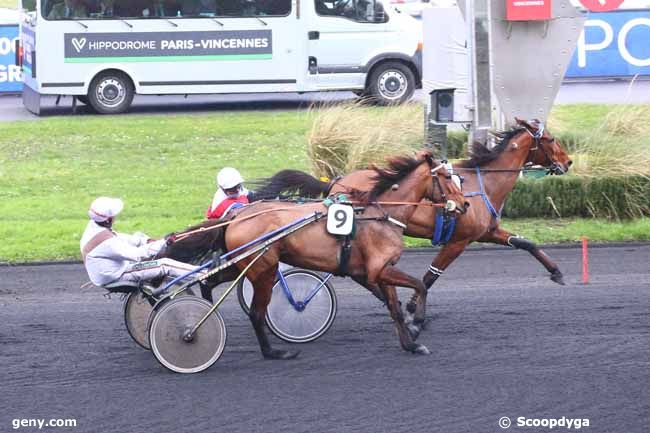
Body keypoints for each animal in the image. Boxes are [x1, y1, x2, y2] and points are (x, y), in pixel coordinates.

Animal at [248, 118, 572, 314]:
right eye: (551, 139)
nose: (568, 162)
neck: (483, 183)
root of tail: (336, 182)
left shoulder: (487, 232)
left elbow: (526, 243)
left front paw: (556, 272)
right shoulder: (459, 240)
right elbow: (431, 274)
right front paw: (415, 309)